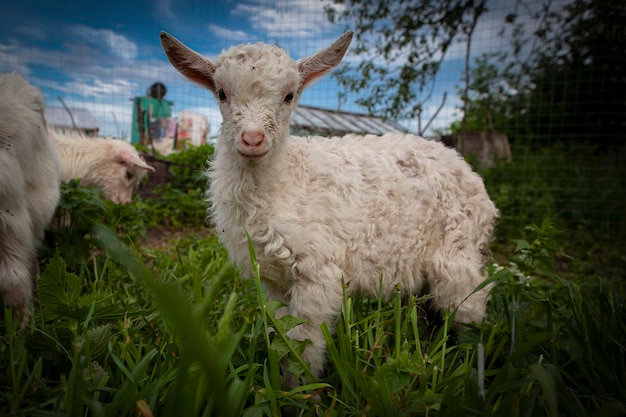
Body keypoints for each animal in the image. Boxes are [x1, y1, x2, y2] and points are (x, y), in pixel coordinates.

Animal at [161, 30, 498, 386]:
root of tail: (468, 171)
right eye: (222, 93)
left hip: (458, 252)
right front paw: (285, 386)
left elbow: (306, 342)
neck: (287, 181)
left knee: (470, 306)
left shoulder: (317, 270)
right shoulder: (274, 281)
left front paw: (303, 389)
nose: (252, 139)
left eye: (289, 95)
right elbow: (282, 335)